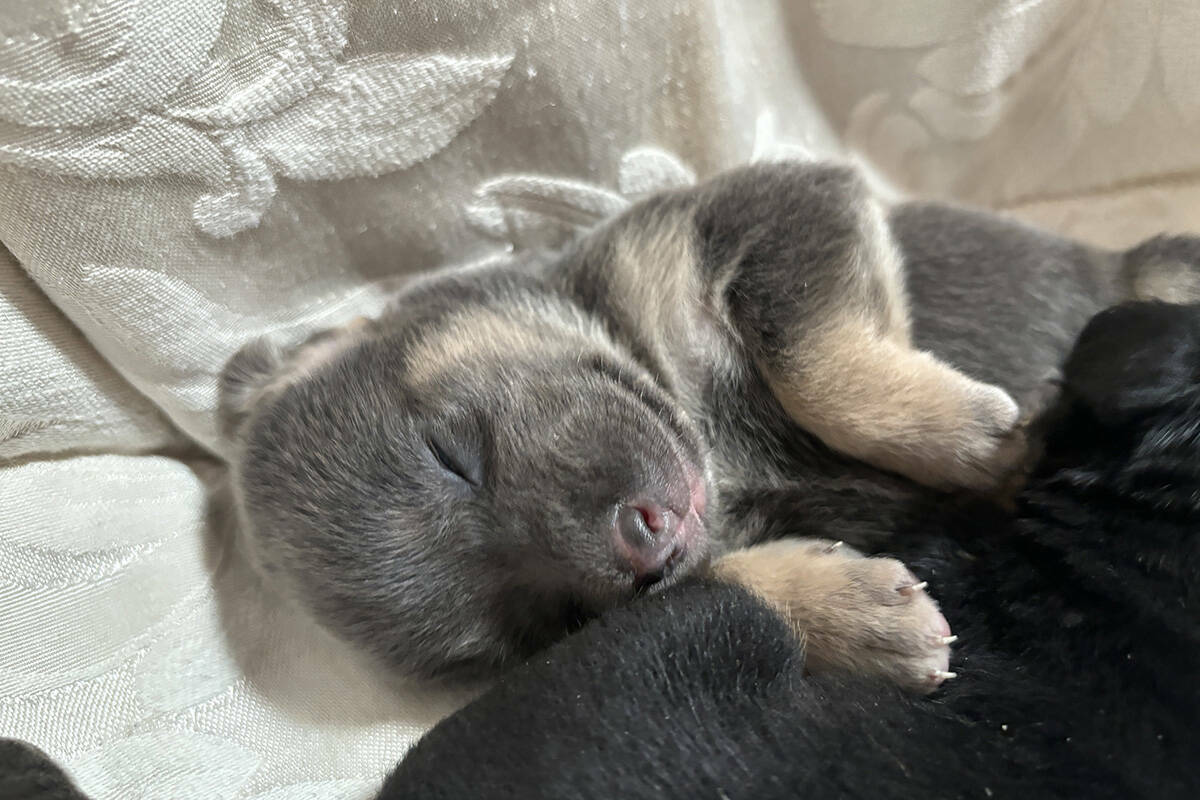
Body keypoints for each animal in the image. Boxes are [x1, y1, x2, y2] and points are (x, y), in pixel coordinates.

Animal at [220, 160, 1195, 690]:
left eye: (452, 456)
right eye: (543, 621)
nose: (642, 541)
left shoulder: (776, 211)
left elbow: (814, 363)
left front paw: (971, 437)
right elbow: (724, 584)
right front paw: (852, 618)